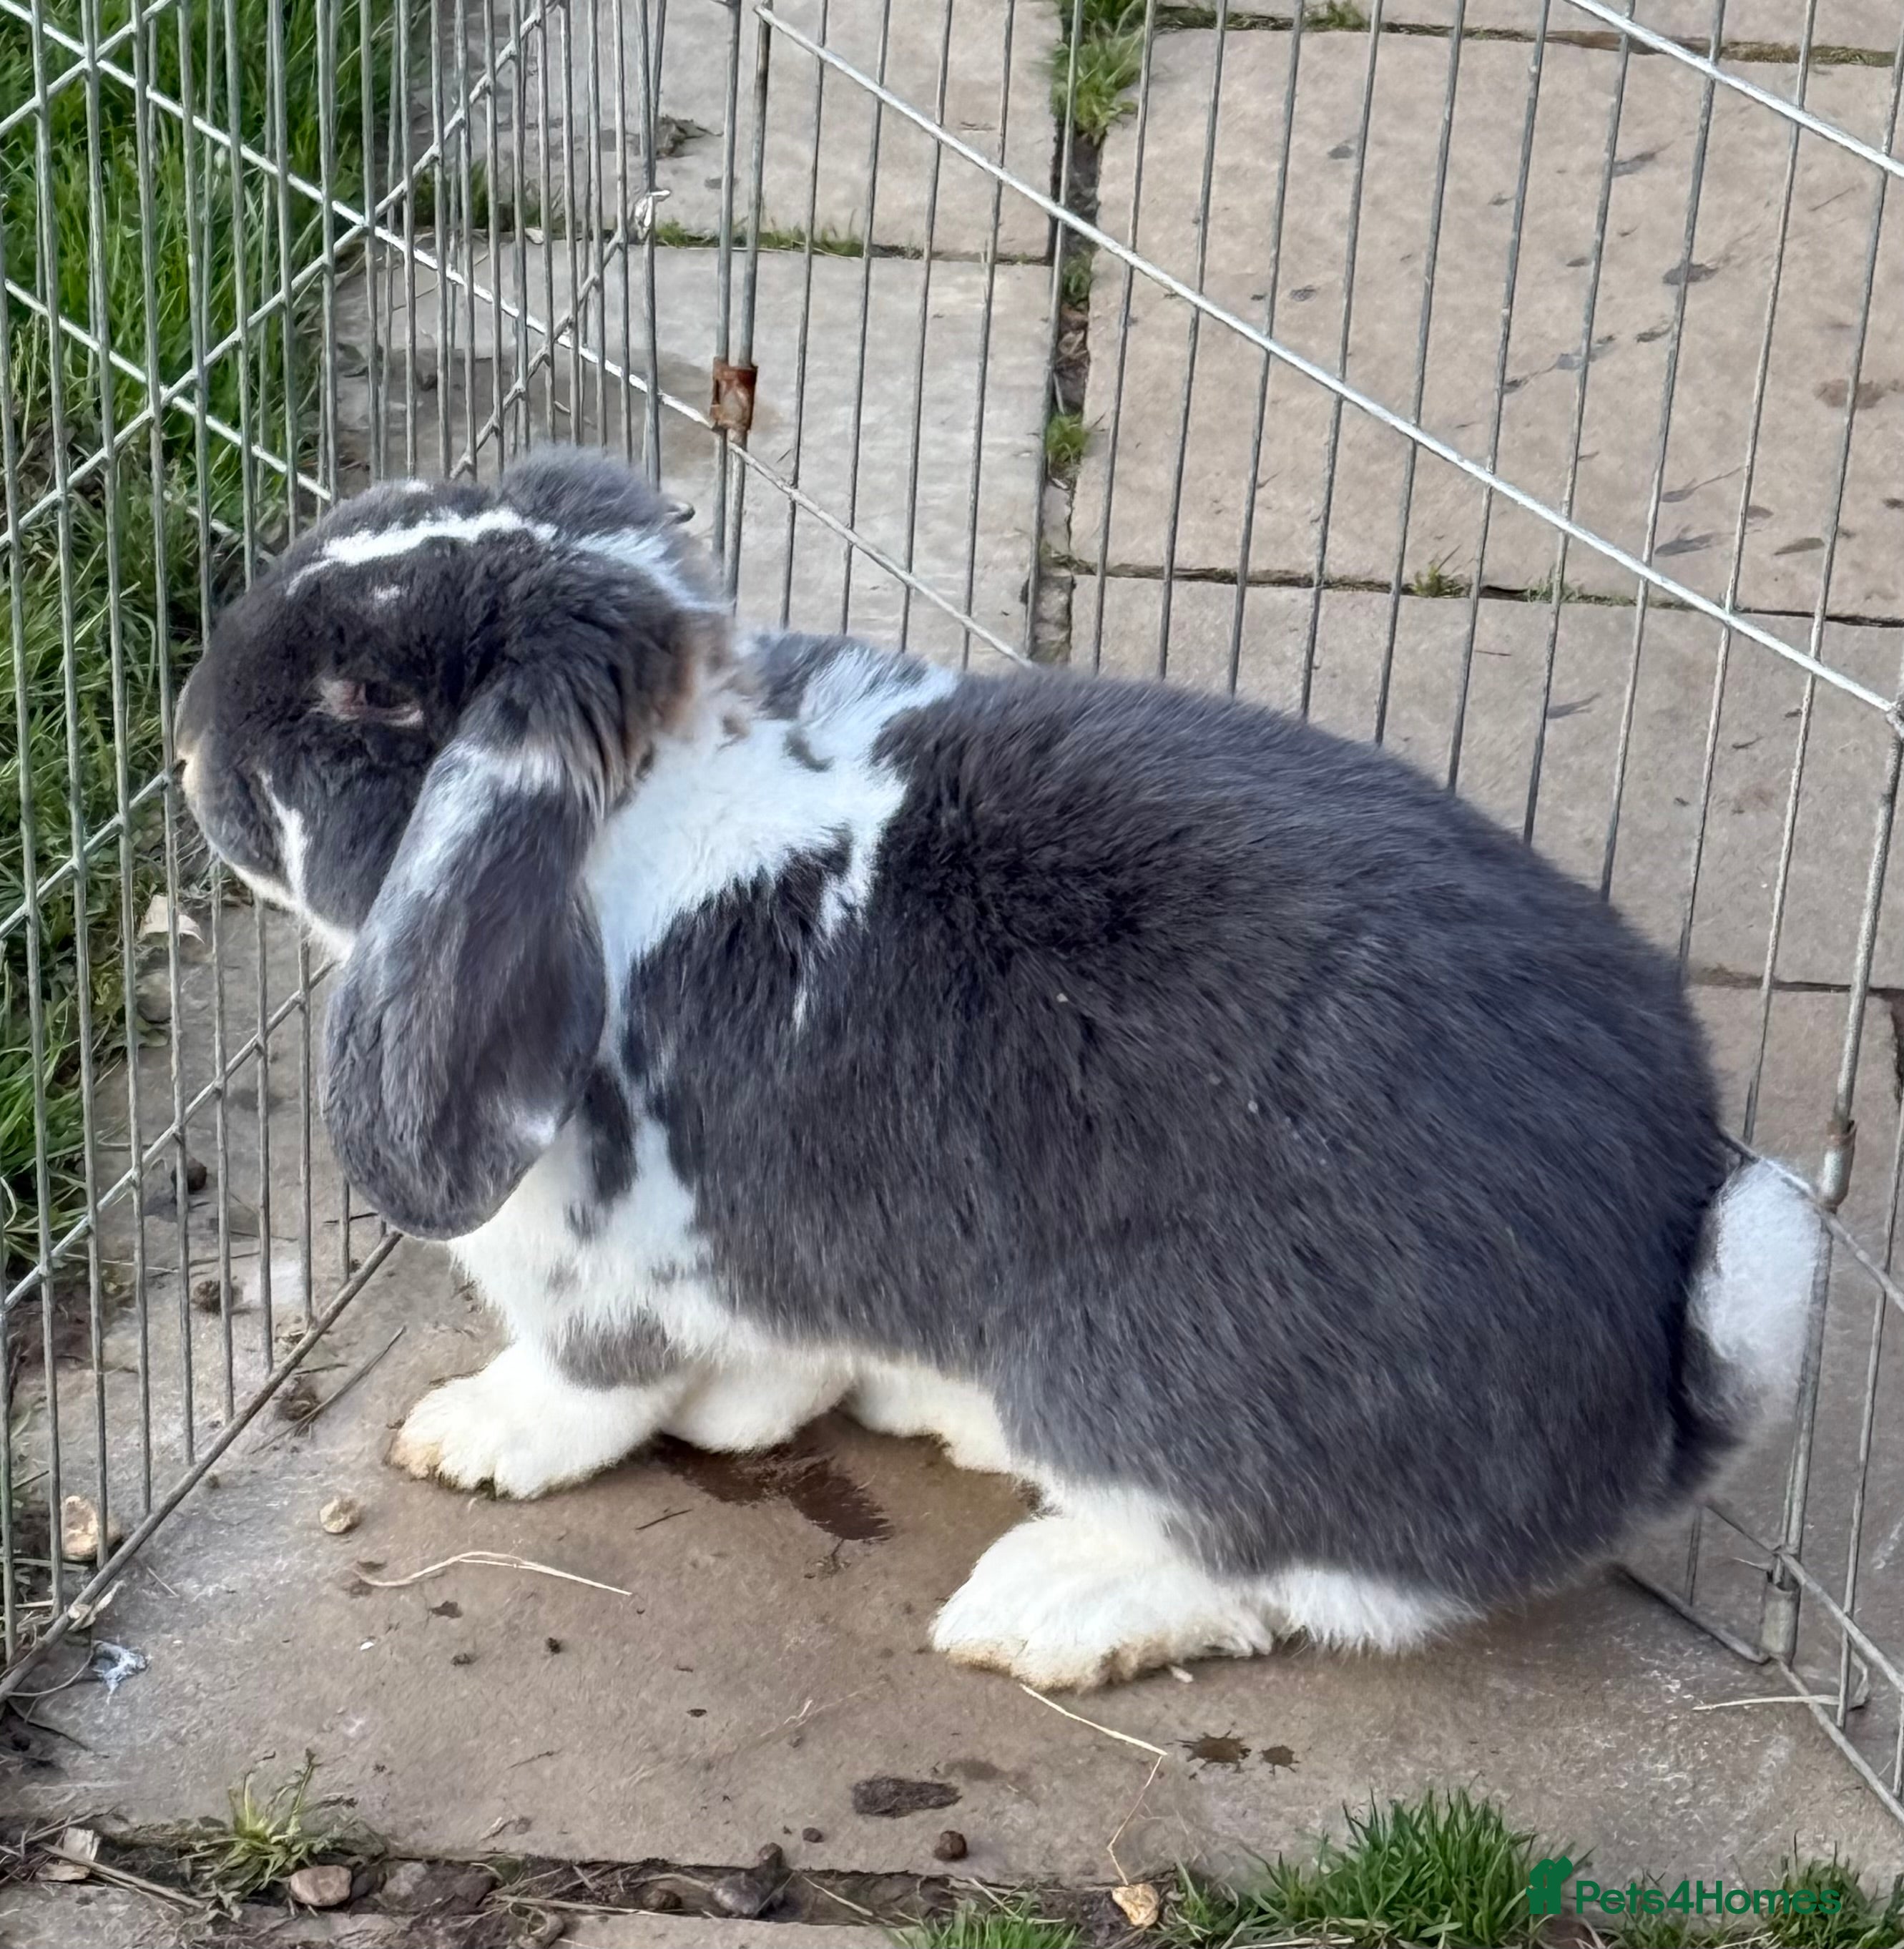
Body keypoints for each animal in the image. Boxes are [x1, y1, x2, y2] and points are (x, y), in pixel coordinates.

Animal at [175, 444, 1821, 1691]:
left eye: (372, 702)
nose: (187, 738)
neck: (645, 817)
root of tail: (1642, 1405)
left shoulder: (610, 1259)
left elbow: (589, 1382)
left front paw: (472, 1436)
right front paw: (754, 1410)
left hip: (1142, 1378)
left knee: (1280, 1580)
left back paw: (1044, 1604)